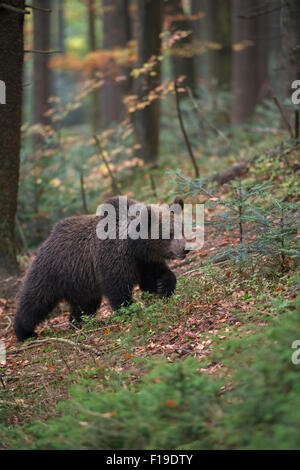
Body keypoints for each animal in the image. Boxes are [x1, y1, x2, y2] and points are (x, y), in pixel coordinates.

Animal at [14, 195, 188, 342]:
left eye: (181, 228)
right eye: (169, 233)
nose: (185, 249)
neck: (133, 246)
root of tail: (47, 240)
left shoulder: (144, 262)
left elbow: (155, 276)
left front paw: (163, 286)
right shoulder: (112, 259)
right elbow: (118, 289)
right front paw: (130, 311)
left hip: (81, 283)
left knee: (85, 305)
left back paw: (78, 323)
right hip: (52, 272)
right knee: (35, 301)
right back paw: (24, 332)